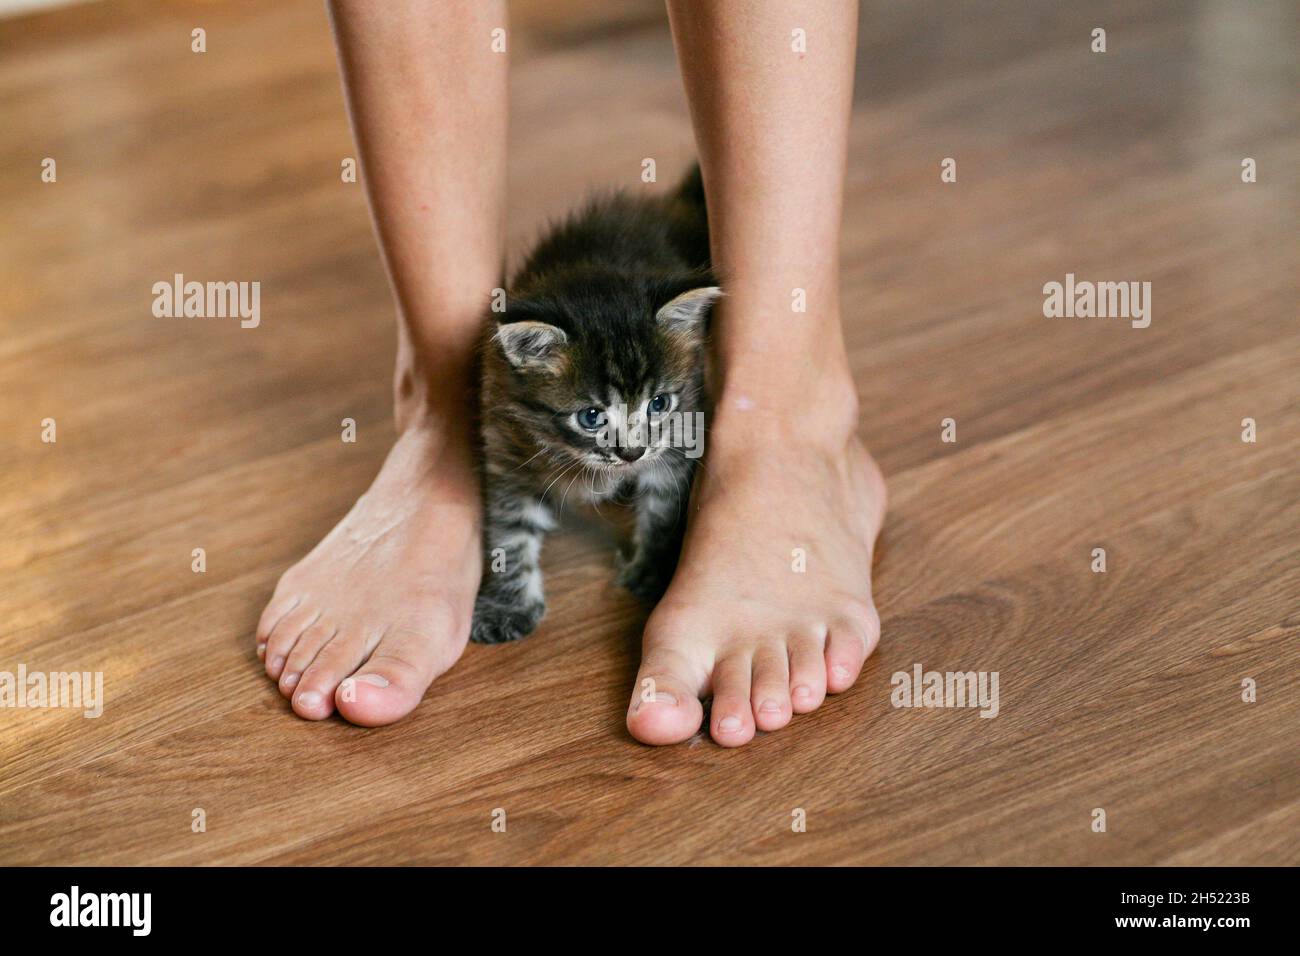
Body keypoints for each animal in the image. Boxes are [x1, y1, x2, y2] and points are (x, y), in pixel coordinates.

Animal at [475, 164, 722, 647]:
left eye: (659, 403)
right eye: (591, 417)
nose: (631, 453)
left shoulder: (680, 435)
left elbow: (662, 509)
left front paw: (652, 571)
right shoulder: (508, 449)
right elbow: (510, 534)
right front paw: (506, 606)